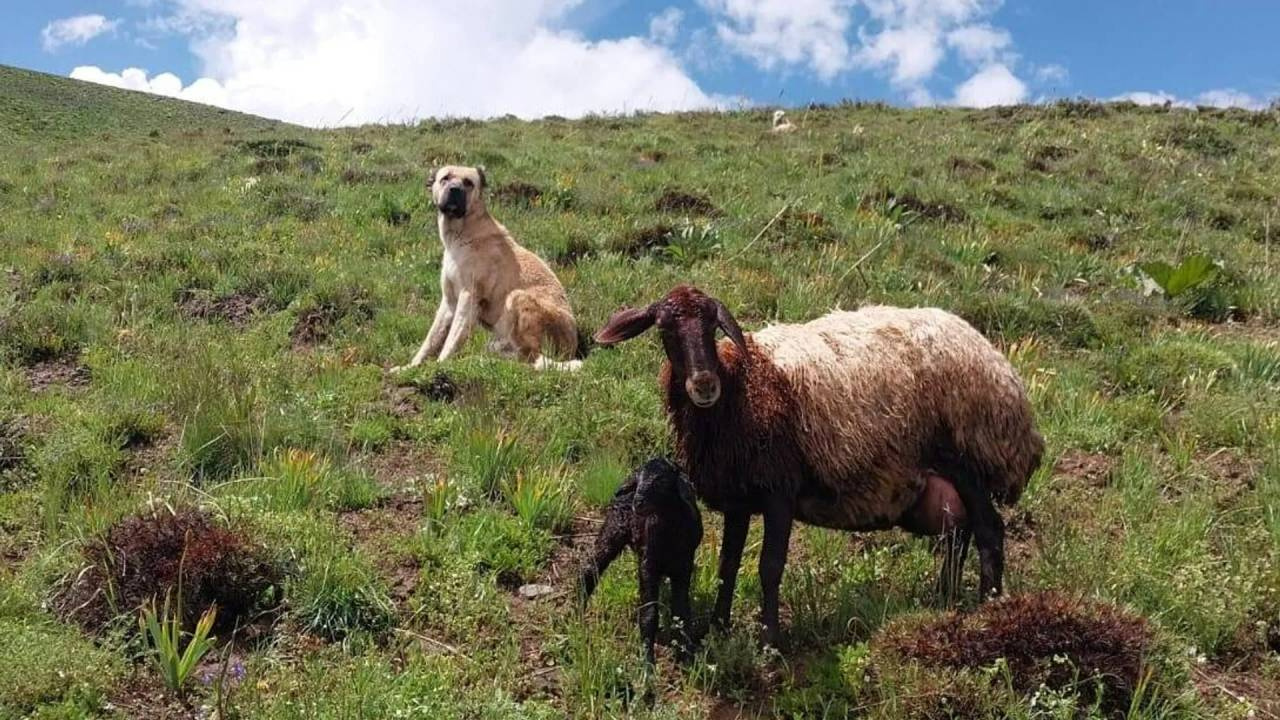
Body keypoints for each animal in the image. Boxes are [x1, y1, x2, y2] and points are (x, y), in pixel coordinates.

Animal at [391, 166, 583, 371]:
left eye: (468, 182)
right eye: (445, 178)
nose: (454, 189)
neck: (462, 234)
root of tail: (573, 346)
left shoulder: (468, 298)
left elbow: (451, 341)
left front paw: (439, 366)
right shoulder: (448, 302)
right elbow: (430, 341)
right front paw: (409, 368)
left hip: (517, 297)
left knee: (533, 359)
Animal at [578, 456, 706, 666]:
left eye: (661, 481)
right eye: (639, 480)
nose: (638, 502)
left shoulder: (684, 567)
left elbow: (681, 613)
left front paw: (686, 657)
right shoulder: (648, 566)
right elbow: (648, 614)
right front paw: (647, 663)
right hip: (613, 529)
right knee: (591, 567)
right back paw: (577, 609)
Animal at [593, 284, 1044, 645]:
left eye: (712, 327)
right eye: (665, 330)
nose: (704, 384)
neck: (741, 386)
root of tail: (1002, 371)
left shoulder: (779, 490)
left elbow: (770, 566)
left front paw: (769, 641)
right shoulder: (739, 498)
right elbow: (727, 564)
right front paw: (719, 629)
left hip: (968, 456)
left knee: (988, 530)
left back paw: (987, 610)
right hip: (938, 480)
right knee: (958, 532)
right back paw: (945, 600)